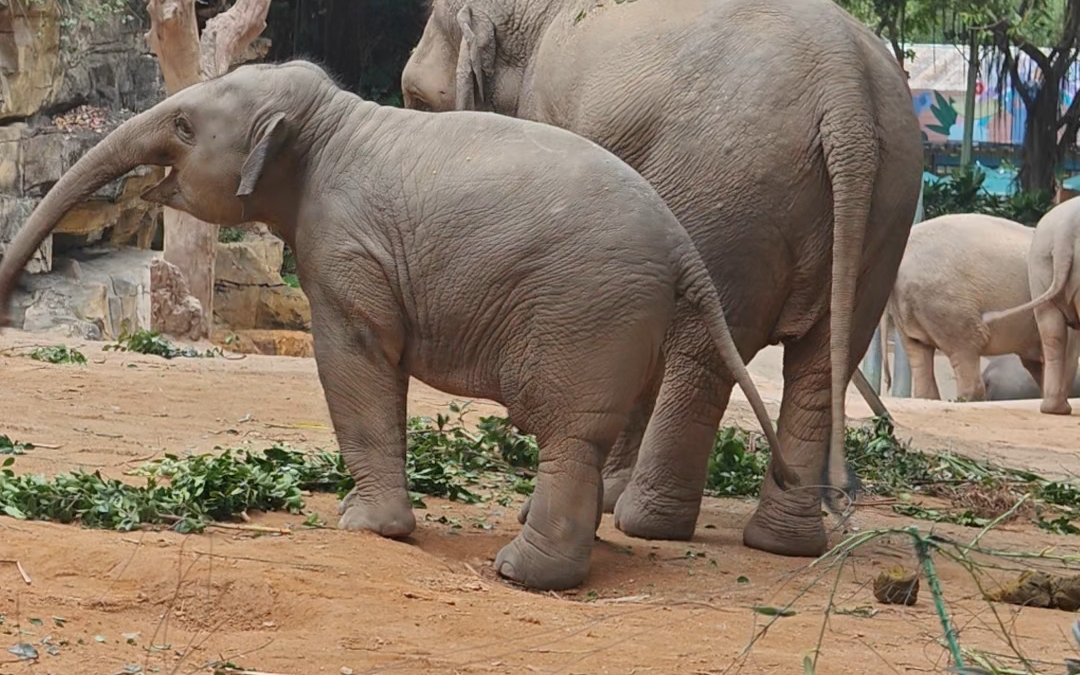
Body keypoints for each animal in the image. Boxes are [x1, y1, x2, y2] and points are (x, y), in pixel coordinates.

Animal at [0, 61, 803, 587]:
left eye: (183, 124)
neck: (330, 117)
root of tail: (681, 246)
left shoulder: (346, 247)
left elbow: (354, 357)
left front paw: (364, 527)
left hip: (588, 310)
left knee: (569, 433)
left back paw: (522, 572)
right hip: (628, 315)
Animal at [401, 0, 924, 557]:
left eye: (418, 100)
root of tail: (845, 92)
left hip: (730, 191)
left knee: (703, 353)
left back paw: (647, 521)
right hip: (885, 206)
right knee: (820, 365)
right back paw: (783, 542)